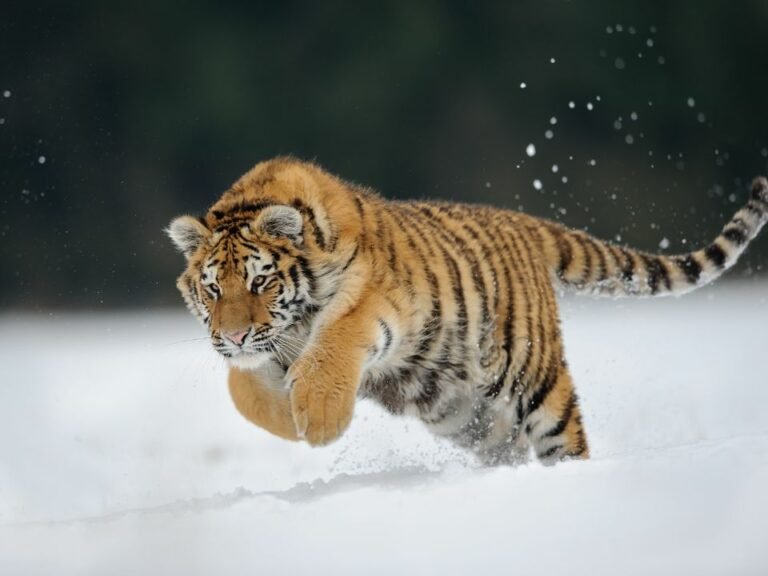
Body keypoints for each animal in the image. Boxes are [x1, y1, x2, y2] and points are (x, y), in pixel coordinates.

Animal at [167, 157, 768, 465]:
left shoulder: (373, 301)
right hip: (463, 413)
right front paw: (287, 420)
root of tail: (523, 223)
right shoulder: (264, 351)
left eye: (261, 281)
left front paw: (315, 420)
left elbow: (333, 341)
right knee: (507, 444)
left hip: (536, 378)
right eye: (213, 289)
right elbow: (242, 390)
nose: (234, 337)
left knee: (563, 437)